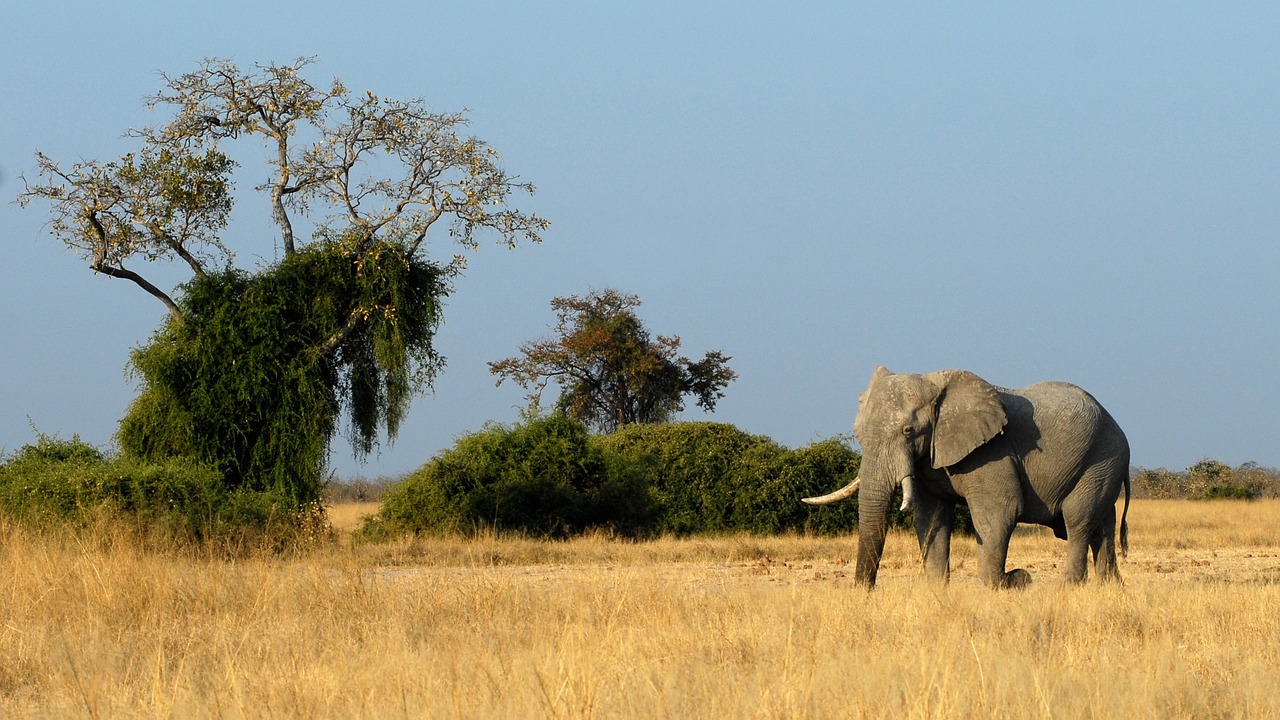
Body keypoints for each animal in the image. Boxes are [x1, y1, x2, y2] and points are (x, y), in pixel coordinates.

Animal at [803, 366, 1126, 586]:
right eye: (856, 434)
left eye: (908, 431)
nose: (865, 591)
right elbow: (930, 518)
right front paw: (937, 591)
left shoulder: (991, 451)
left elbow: (1000, 512)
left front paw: (1007, 584)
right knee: (1101, 526)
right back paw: (1110, 587)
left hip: (1102, 459)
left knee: (1078, 521)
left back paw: (1070, 586)